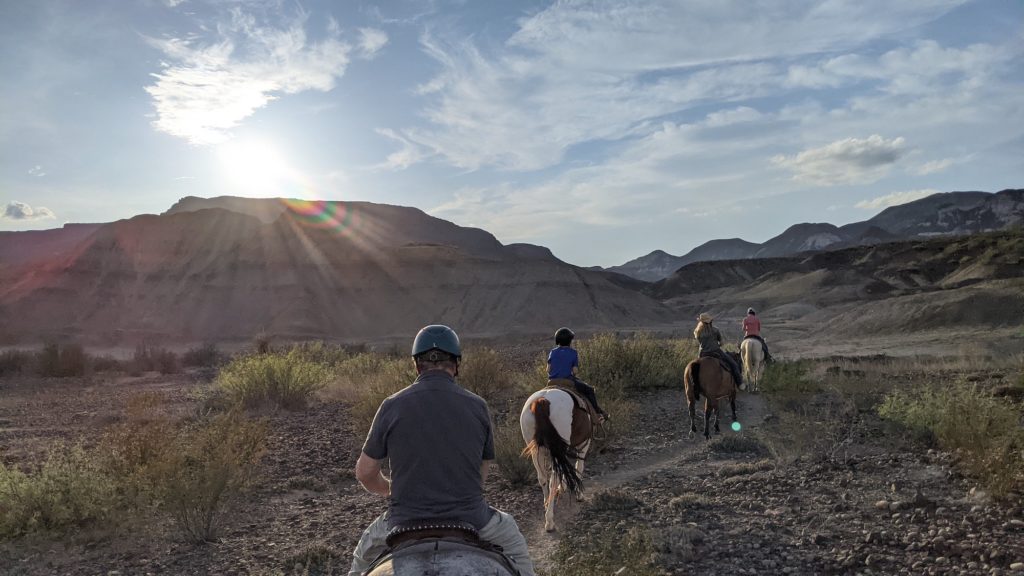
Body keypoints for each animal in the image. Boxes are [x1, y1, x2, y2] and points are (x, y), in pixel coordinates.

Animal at [520, 385, 593, 528]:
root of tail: (542, 400)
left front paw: (563, 487)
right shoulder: (584, 444)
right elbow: (579, 467)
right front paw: (579, 494)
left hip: (536, 450)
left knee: (543, 478)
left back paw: (547, 505)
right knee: (553, 480)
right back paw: (549, 521)